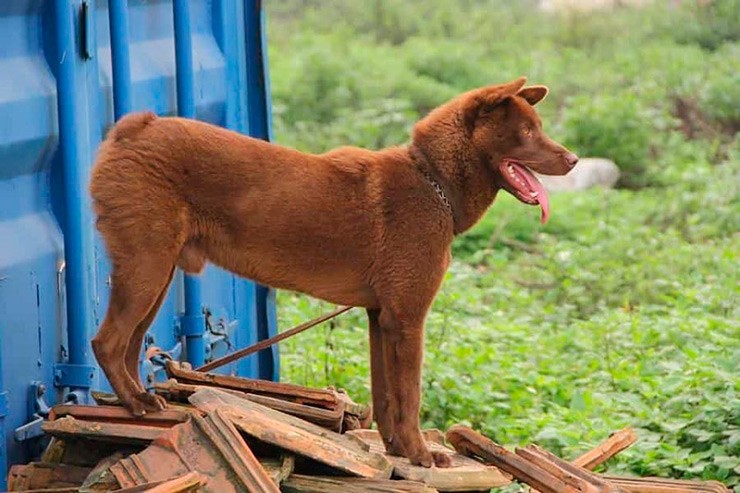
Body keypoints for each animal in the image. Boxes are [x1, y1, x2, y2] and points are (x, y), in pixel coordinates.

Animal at [89, 76, 576, 466]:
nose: (572, 159)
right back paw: (135, 404)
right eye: (527, 132)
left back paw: (138, 400)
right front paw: (422, 455)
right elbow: (410, 397)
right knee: (106, 342)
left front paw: (398, 451)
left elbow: (385, 398)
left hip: (156, 275)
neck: (432, 180)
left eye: (539, 128)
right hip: (147, 268)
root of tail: (138, 127)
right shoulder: (408, 320)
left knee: (129, 346)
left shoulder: (381, 319)